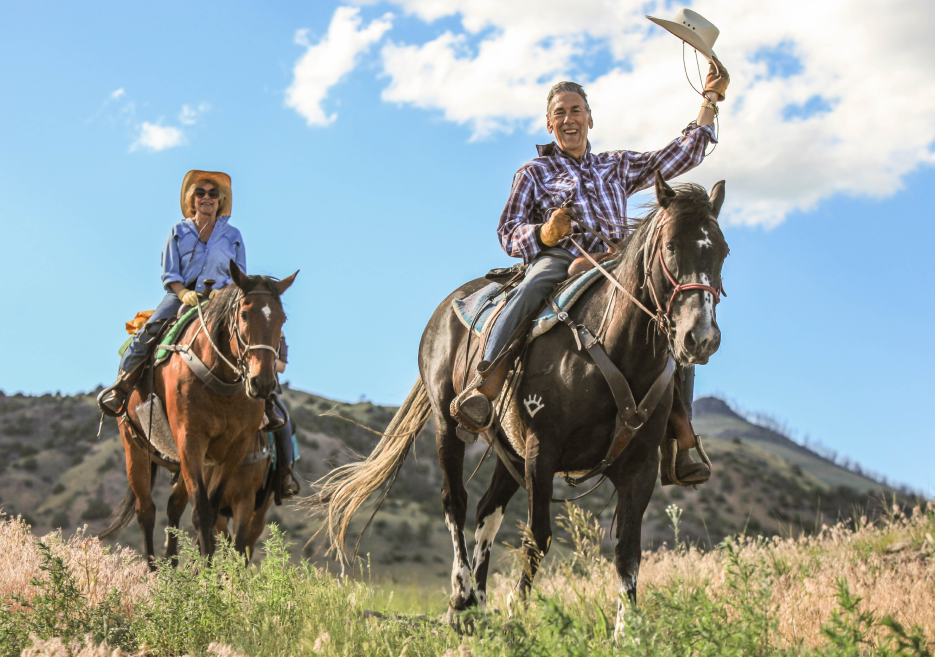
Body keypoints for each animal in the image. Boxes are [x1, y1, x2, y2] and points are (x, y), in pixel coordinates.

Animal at [99, 262, 296, 564]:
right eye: (244, 314)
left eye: (282, 320)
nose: (262, 382)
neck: (221, 381)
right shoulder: (190, 439)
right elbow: (202, 512)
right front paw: (206, 572)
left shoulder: (235, 452)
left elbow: (216, 517)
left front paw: (206, 568)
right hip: (135, 447)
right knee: (146, 511)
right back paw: (154, 569)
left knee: (173, 507)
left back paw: (172, 563)